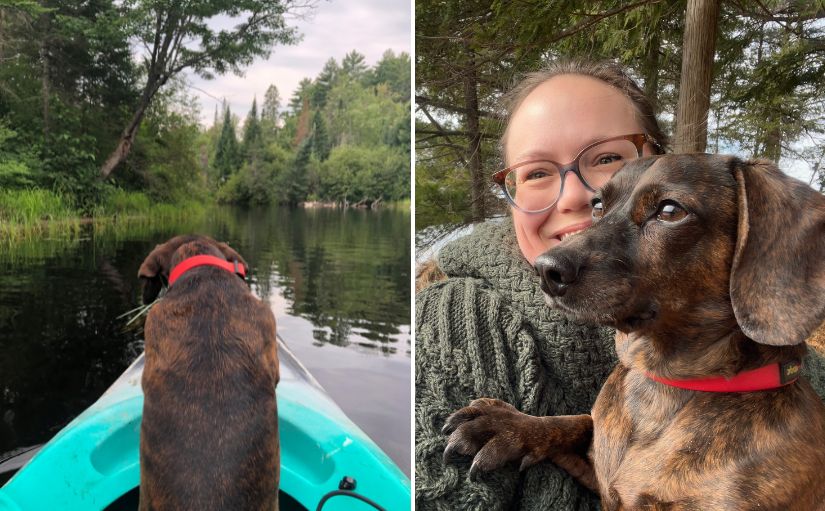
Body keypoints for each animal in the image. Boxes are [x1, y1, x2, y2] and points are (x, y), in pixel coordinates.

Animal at [448, 156, 825, 511]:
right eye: (598, 205)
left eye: (670, 211)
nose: (545, 269)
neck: (663, 386)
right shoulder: (599, 473)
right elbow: (578, 420)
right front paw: (514, 426)